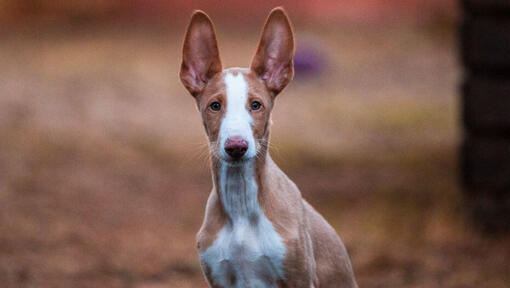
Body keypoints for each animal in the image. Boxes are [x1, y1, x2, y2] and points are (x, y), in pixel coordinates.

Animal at [179, 6, 358, 288]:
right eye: (215, 106)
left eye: (256, 105)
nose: (236, 147)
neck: (241, 201)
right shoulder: (219, 278)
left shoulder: (299, 277)